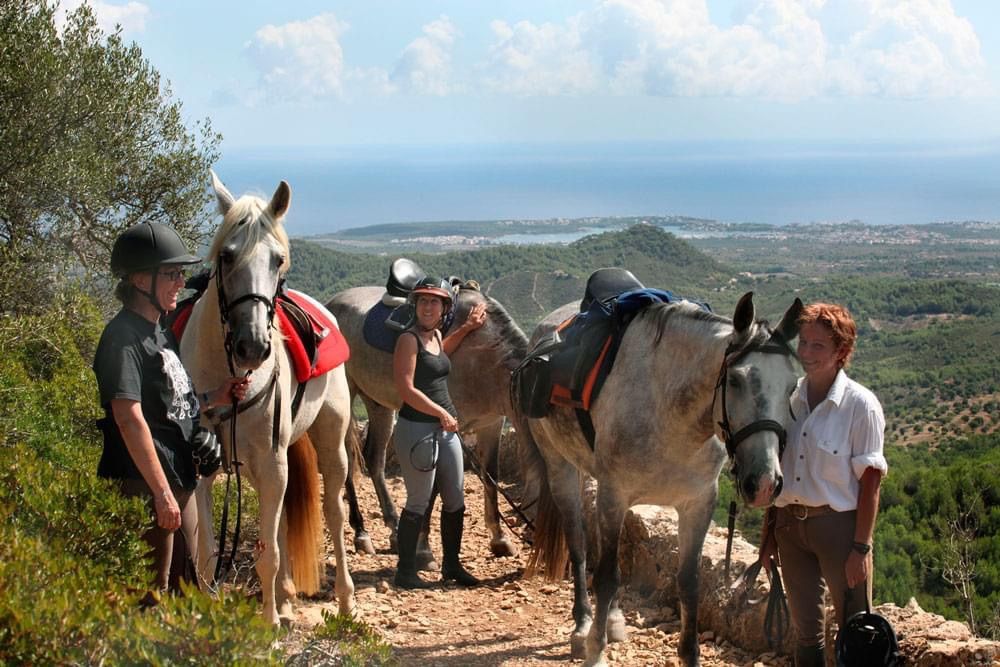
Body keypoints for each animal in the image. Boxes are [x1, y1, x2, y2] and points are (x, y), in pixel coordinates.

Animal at [184, 174, 356, 628]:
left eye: (278, 260)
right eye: (227, 256)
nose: (253, 346)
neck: (228, 377)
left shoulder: (272, 462)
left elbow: (270, 555)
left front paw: (269, 625)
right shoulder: (209, 467)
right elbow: (207, 554)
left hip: (328, 445)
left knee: (334, 513)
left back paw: (344, 601)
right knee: (277, 527)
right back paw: (287, 599)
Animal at [520, 294, 800, 664]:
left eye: (792, 386)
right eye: (736, 380)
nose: (765, 482)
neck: (670, 411)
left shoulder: (698, 503)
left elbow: (689, 583)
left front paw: (690, 655)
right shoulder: (613, 494)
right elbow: (606, 577)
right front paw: (596, 651)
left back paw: (612, 619)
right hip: (560, 466)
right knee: (578, 545)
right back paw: (582, 626)